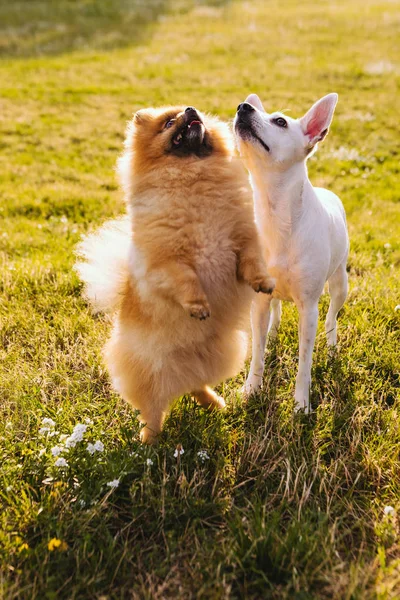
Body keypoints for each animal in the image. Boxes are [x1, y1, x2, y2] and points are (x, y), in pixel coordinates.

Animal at [76, 104, 274, 440]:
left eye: (192, 112)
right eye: (169, 123)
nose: (191, 110)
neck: (193, 178)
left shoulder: (242, 240)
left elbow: (251, 263)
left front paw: (262, 282)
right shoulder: (168, 263)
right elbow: (187, 281)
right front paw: (198, 306)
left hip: (224, 352)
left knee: (196, 385)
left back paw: (216, 404)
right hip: (151, 374)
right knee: (152, 411)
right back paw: (149, 442)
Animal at [233, 94, 348, 412]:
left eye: (280, 122)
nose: (243, 106)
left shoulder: (308, 308)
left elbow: (304, 362)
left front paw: (301, 405)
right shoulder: (258, 301)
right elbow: (257, 352)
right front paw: (251, 389)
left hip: (340, 284)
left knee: (332, 318)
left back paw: (332, 348)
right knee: (276, 310)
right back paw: (273, 333)